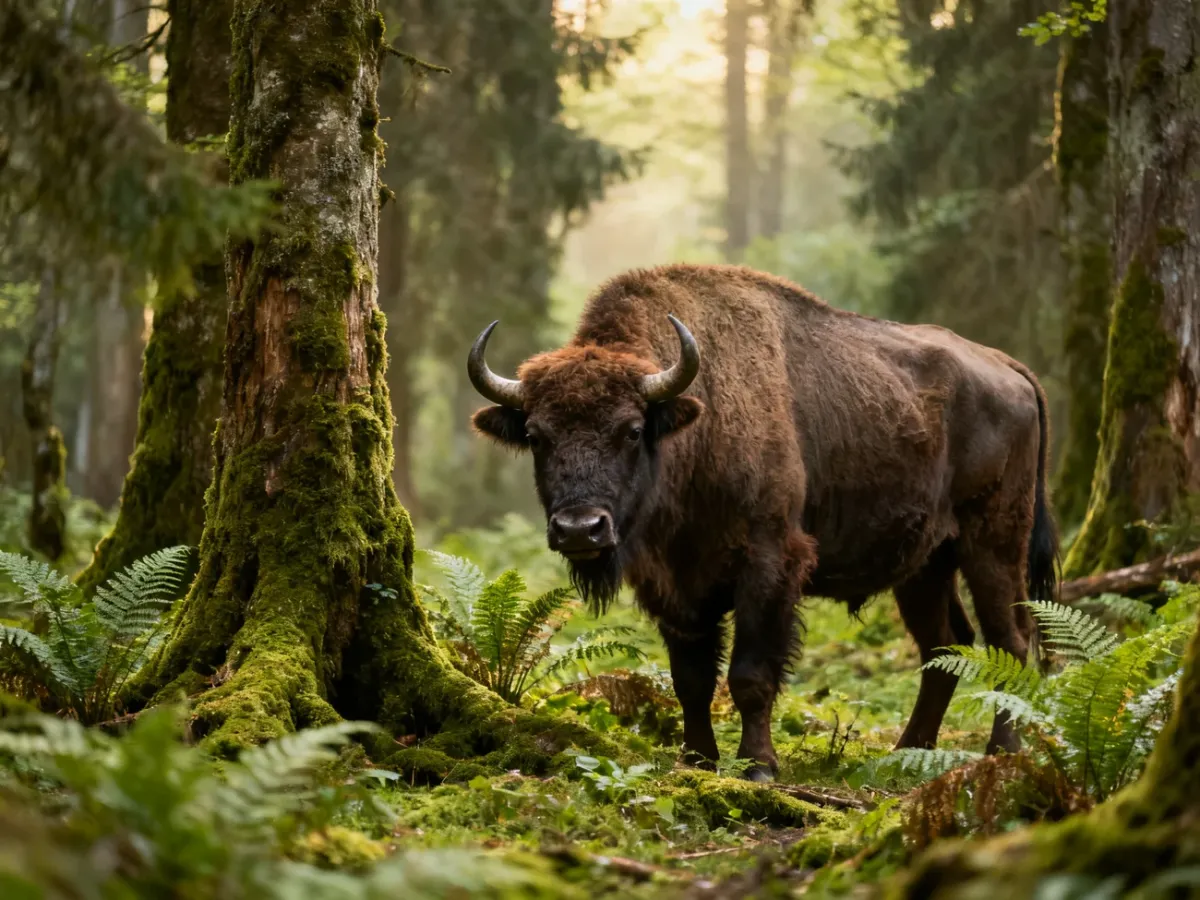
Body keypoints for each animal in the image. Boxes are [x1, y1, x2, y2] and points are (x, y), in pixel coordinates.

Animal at [468, 264, 1058, 781]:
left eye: (632, 430)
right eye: (537, 436)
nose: (580, 529)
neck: (694, 425)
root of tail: (1009, 369)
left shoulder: (769, 563)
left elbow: (749, 675)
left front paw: (759, 767)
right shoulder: (673, 585)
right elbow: (691, 679)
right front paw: (697, 761)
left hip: (994, 543)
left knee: (1011, 641)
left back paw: (1000, 753)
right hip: (924, 564)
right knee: (944, 645)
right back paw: (906, 752)